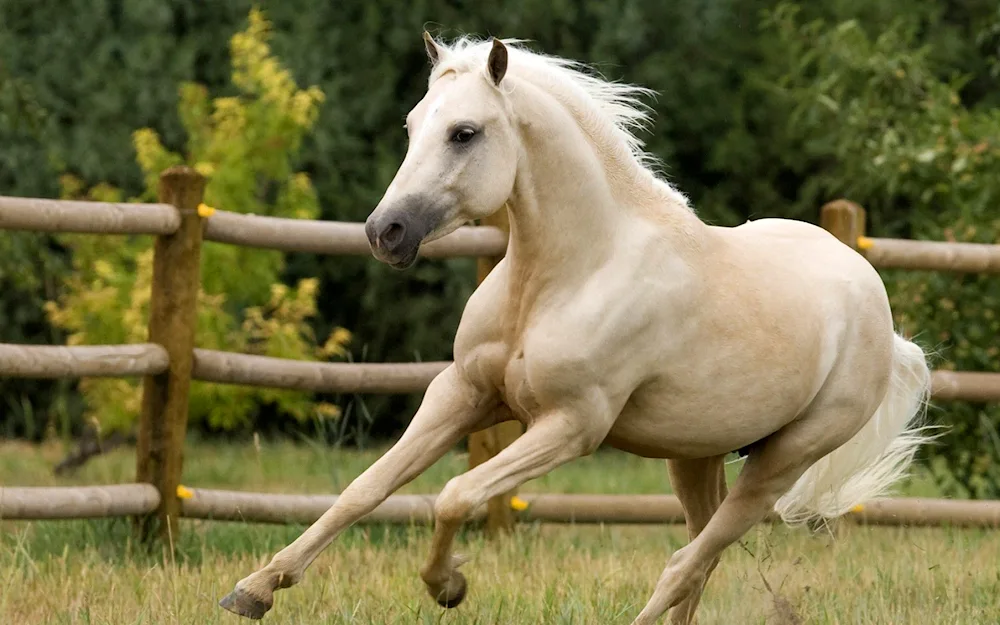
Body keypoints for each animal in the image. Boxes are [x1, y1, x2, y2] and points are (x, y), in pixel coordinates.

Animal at [219, 34, 928, 624]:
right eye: (413, 125)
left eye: (464, 133)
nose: (384, 232)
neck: (564, 278)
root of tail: (880, 314)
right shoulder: (461, 394)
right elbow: (364, 489)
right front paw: (254, 589)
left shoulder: (571, 426)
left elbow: (455, 493)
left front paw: (448, 586)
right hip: (694, 454)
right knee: (700, 558)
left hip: (782, 462)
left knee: (686, 563)